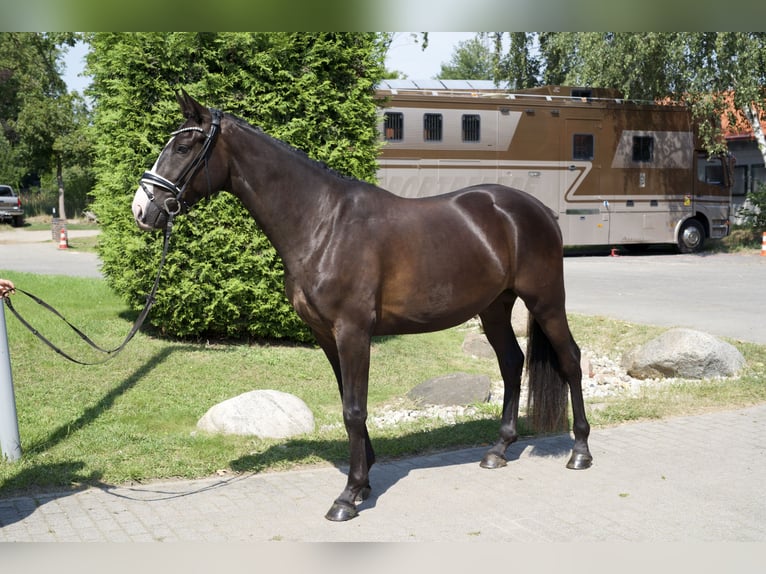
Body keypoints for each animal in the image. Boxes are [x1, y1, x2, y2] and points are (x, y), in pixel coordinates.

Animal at [130, 89, 592, 520]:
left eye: (183, 147)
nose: (142, 209)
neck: (323, 224)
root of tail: (537, 209)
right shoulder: (326, 334)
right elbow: (347, 402)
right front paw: (364, 481)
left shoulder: (352, 331)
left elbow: (354, 408)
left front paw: (347, 496)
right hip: (494, 307)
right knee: (512, 363)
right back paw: (498, 449)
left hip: (546, 301)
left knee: (570, 359)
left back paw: (580, 451)